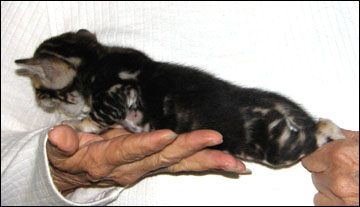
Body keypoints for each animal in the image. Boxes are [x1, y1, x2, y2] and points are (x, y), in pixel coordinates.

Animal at [15, 29, 344, 168]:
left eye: (38, 89)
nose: (40, 101)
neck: (95, 59)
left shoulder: (120, 90)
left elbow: (98, 114)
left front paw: (81, 125)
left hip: (277, 148)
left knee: (316, 132)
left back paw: (332, 129)